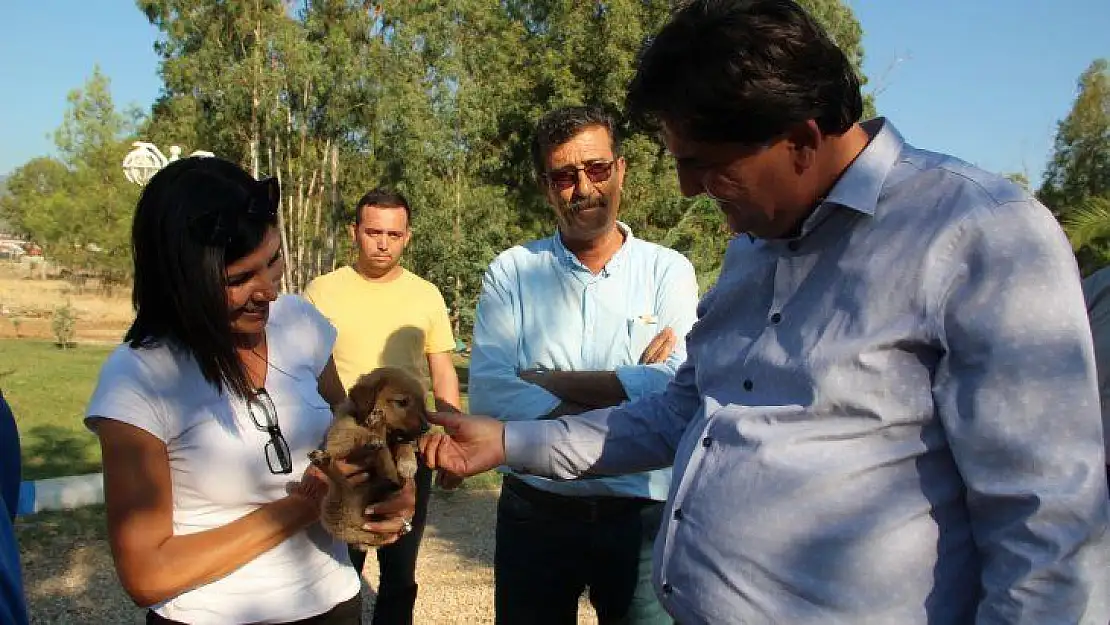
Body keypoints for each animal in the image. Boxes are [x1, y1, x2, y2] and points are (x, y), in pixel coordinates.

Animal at [308, 368, 428, 550]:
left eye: (422, 404)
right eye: (402, 402)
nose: (427, 428)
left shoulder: (397, 437)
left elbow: (402, 442)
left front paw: (408, 462)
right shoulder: (337, 439)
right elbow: (356, 433)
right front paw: (370, 436)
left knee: (389, 475)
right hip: (332, 509)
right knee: (343, 484)